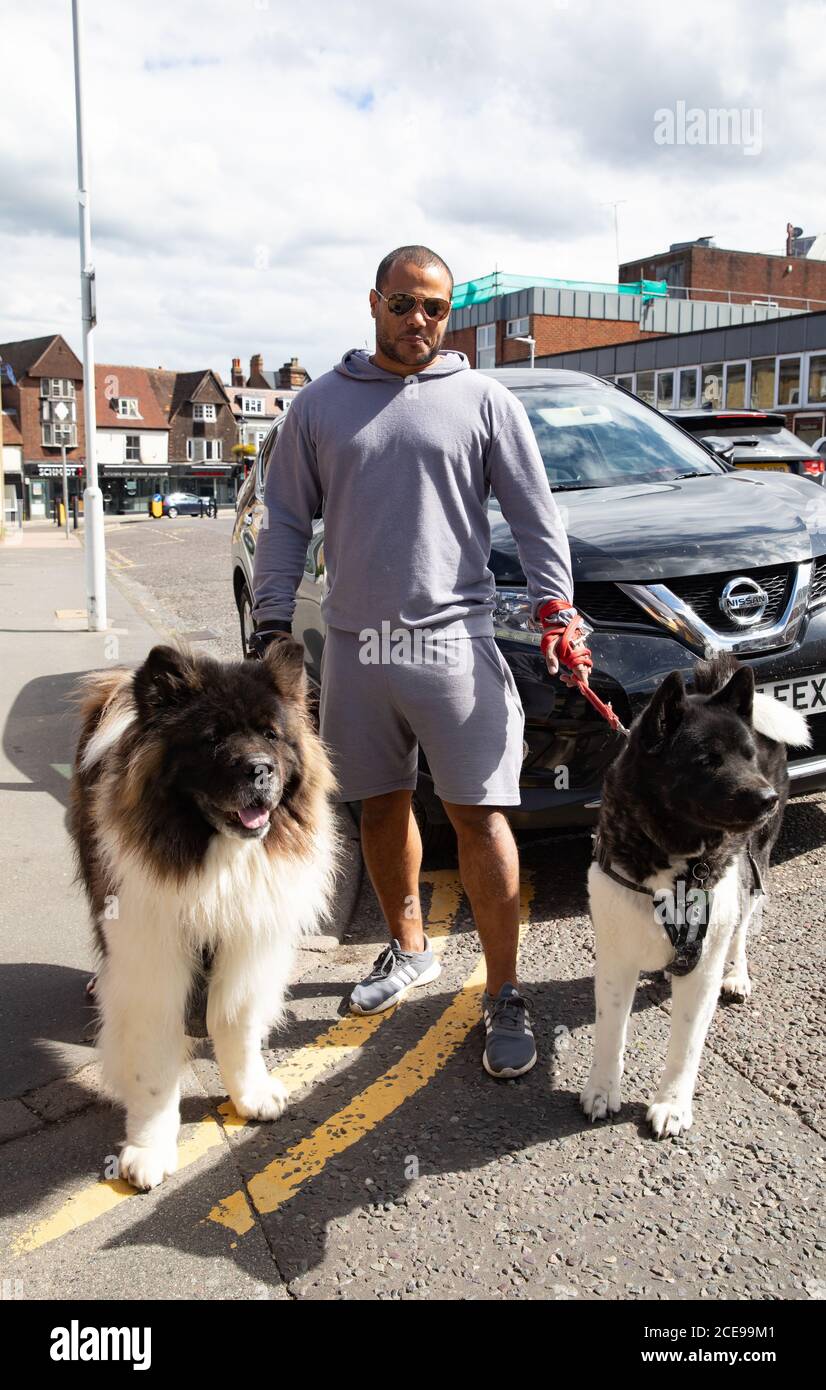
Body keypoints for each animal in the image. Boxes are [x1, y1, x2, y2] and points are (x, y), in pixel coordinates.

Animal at [67, 642, 337, 1195]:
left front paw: (251, 1096)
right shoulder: (150, 966)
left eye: (271, 735)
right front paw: (148, 1151)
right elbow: (153, 1069)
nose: (260, 769)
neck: (219, 858)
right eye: (212, 739)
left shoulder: (247, 948)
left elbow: (236, 1027)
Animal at [578, 650, 812, 1139]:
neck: (676, 862)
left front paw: (672, 1104)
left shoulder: (703, 962)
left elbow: (685, 1045)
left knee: (741, 929)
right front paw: (602, 1089)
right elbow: (610, 1032)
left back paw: (737, 974)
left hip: (753, 870)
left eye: (747, 757)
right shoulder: (615, 958)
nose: (766, 799)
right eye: (707, 760)